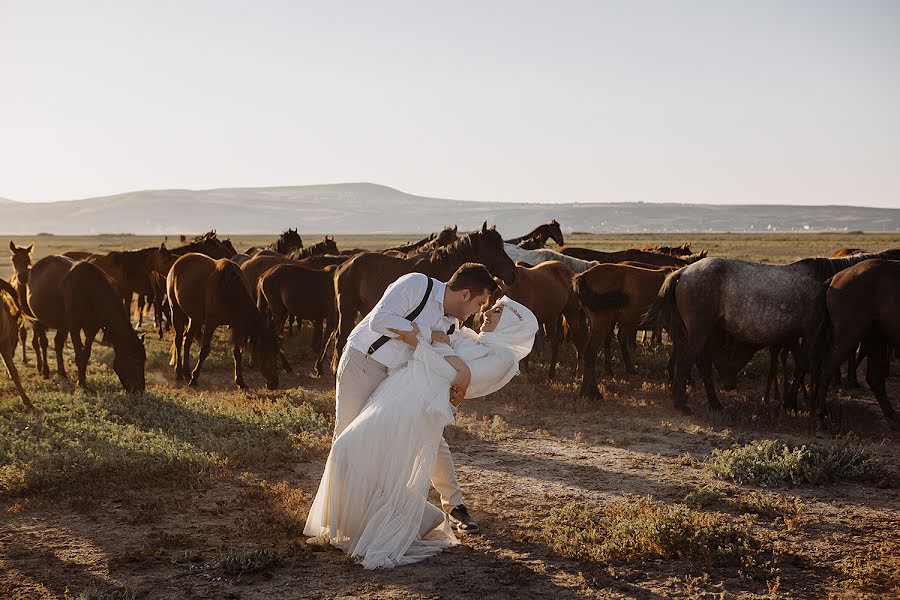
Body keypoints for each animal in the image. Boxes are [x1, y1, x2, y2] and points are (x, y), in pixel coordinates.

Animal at [26, 255, 145, 392]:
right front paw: (81, 384)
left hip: (62, 325)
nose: (140, 390)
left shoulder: (92, 329)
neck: (90, 292)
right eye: (136, 361)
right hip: (38, 320)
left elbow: (86, 355)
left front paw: (82, 381)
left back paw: (62, 373)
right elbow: (79, 355)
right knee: (43, 343)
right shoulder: (74, 327)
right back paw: (45, 371)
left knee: (58, 344)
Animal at [167, 252, 280, 390]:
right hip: (176, 310)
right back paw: (179, 373)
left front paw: (240, 381)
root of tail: (178, 261)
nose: (274, 383)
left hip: (195, 317)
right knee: (178, 340)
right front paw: (195, 378)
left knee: (187, 340)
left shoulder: (237, 326)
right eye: (265, 353)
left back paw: (186, 372)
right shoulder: (211, 324)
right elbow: (204, 351)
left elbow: (237, 353)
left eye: (276, 353)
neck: (228, 288)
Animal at [812, 260, 900, 428]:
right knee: (827, 369)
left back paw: (893, 418)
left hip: (874, 339)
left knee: (874, 378)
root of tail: (835, 279)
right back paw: (819, 417)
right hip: (849, 336)